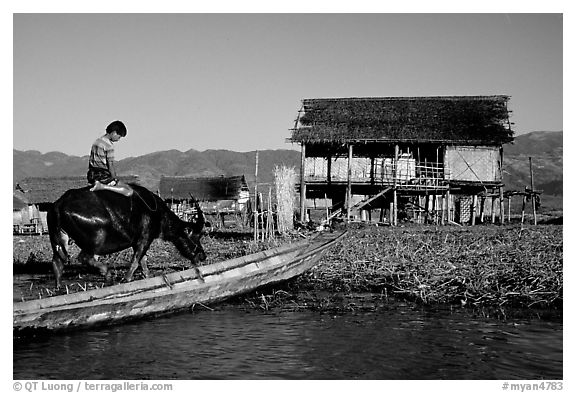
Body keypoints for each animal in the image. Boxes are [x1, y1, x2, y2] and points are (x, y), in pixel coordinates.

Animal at [46, 183, 207, 288]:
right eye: (196, 235)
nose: (202, 256)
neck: (158, 214)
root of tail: (58, 205)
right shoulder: (145, 238)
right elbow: (136, 260)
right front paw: (127, 278)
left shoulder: (139, 242)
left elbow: (143, 260)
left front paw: (147, 275)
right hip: (96, 239)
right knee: (84, 257)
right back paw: (108, 274)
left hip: (58, 240)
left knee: (57, 262)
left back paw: (59, 286)